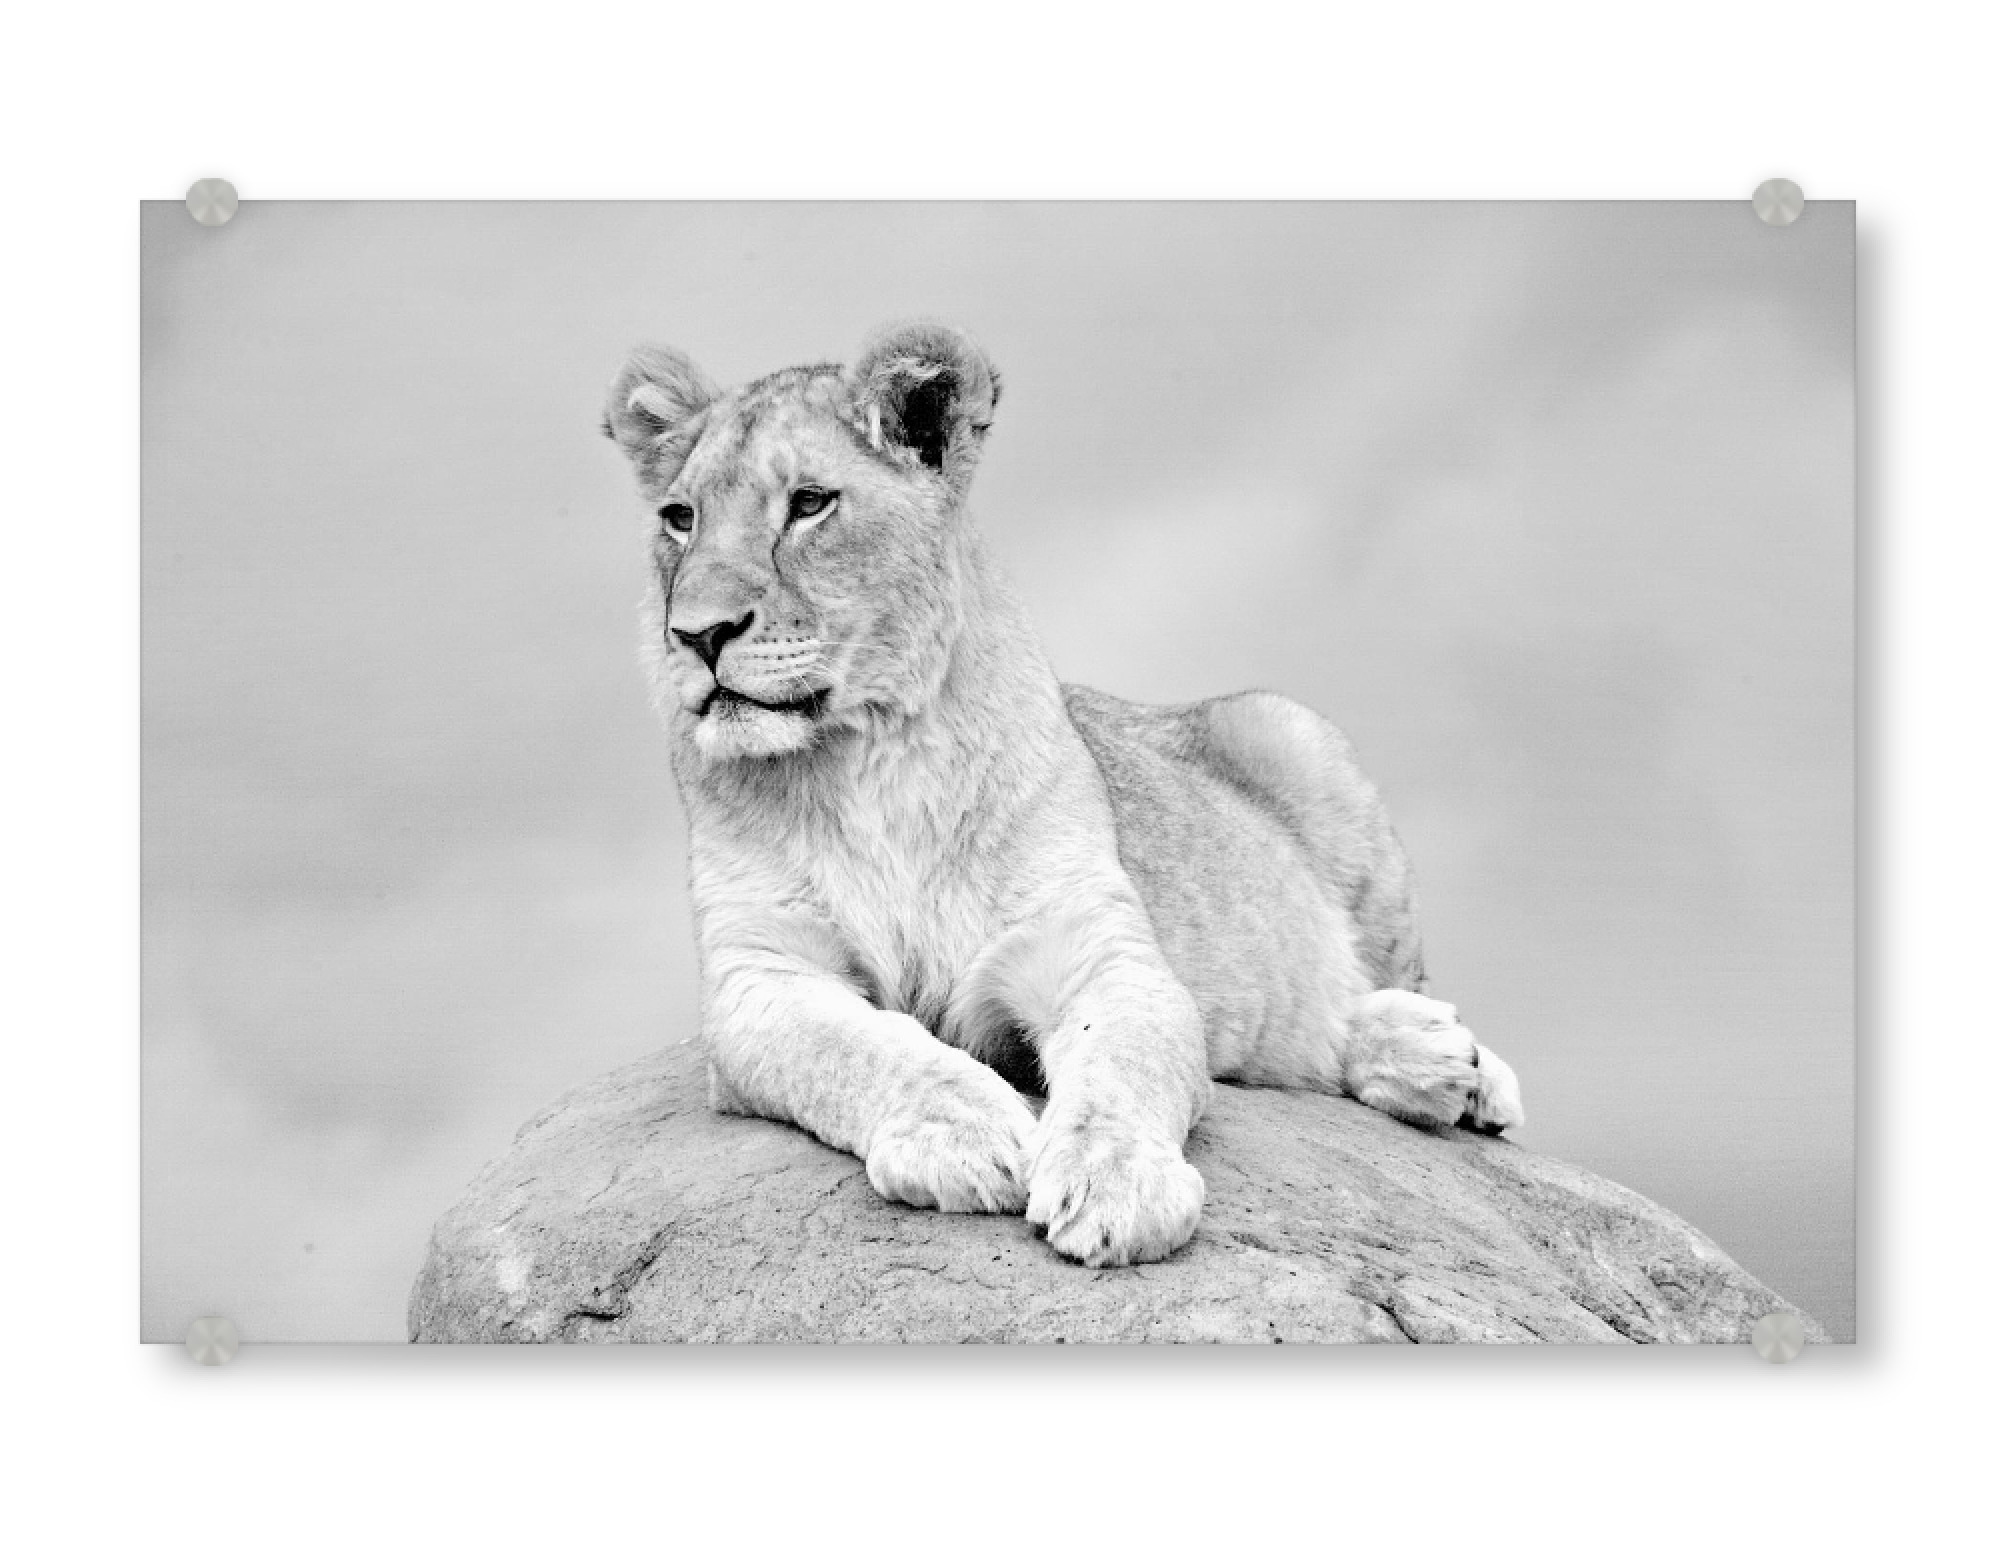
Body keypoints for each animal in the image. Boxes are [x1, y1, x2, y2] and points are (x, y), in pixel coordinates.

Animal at [600, 321, 1524, 1268]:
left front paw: (1118, 1187)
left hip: (1295, 734)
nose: (697, 635)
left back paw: (1458, 1069)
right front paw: (964, 1132)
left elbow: (1119, 1065)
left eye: (810, 503)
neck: (865, 758)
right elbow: (863, 1048)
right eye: (680, 518)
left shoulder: (1098, 952)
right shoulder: (759, 978)